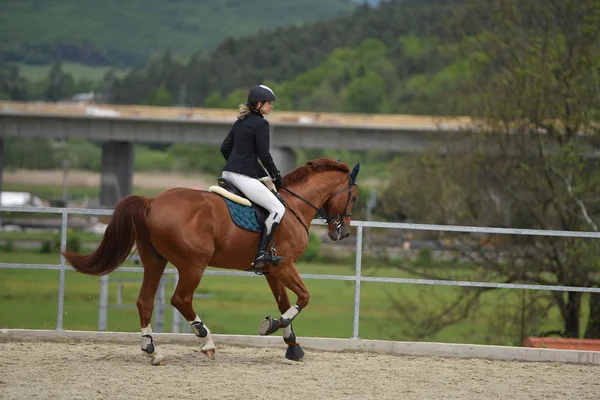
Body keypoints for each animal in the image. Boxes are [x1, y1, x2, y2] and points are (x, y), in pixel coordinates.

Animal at [63, 158, 358, 364]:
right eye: (354, 197)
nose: (342, 233)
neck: (293, 206)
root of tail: (151, 202)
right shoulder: (285, 266)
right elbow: (304, 298)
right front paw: (272, 326)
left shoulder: (272, 269)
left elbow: (285, 302)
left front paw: (292, 346)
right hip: (193, 264)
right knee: (180, 299)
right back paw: (206, 341)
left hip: (155, 261)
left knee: (145, 301)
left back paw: (152, 351)